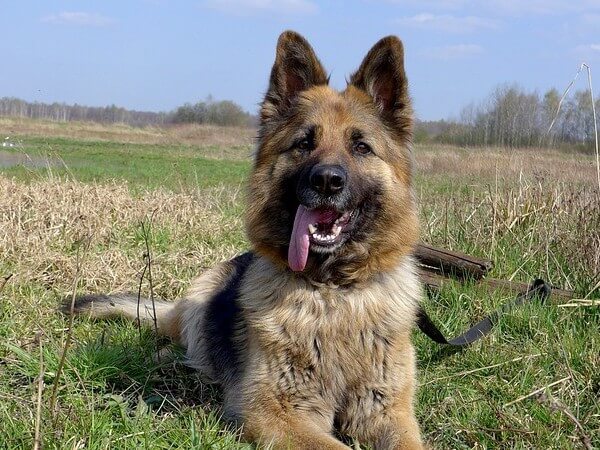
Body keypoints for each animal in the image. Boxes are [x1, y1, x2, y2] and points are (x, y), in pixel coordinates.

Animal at [70, 29, 424, 448]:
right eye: (304, 144)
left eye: (361, 147)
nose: (326, 181)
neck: (333, 292)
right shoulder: (275, 411)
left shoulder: (388, 411)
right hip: (202, 299)